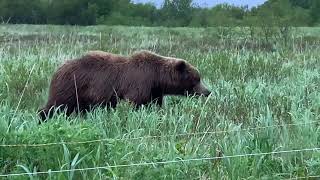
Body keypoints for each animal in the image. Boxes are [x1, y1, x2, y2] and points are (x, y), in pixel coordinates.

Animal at [37, 50, 211, 121]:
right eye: (197, 79)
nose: (207, 91)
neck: (156, 78)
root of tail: (58, 69)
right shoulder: (138, 83)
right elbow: (133, 103)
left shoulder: (154, 91)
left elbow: (154, 105)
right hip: (71, 85)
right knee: (57, 105)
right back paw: (42, 118)